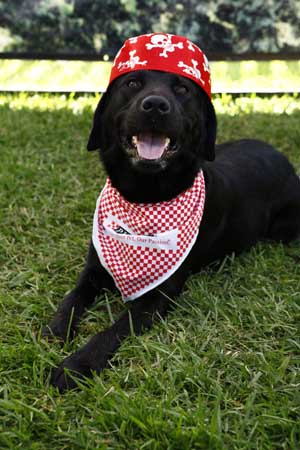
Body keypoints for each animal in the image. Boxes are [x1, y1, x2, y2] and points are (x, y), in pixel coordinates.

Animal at [43, 69, 300, 390]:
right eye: (132, 83)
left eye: (182, 89)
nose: (155, 105)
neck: (143, 197)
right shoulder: (94, 269)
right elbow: (71, 299)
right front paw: (55, 330)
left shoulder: (159, 295)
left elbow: (115, 329)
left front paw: (78, 365)